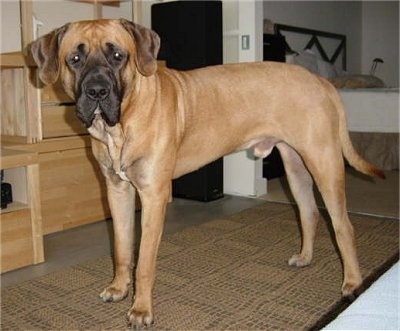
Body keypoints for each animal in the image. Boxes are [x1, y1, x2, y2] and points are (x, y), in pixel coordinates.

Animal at [31, 19, 384, 328]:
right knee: (308, 212)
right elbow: (121, 247)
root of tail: (322, 82)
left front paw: (141, 309)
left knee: (343, 226)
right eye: (74, 59)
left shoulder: (153, 196)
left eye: (118, 56)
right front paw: (119, 288)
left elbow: (144, 261)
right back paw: (305, 257)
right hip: (295, 166)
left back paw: (352, 282)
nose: (97, 91)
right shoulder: (117, 191)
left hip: (324, 162)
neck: (120, 124)